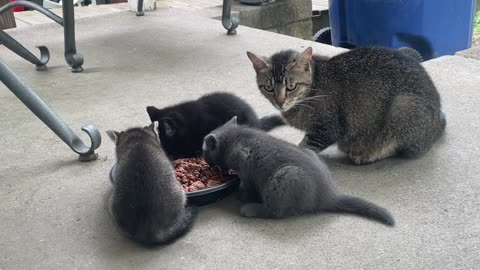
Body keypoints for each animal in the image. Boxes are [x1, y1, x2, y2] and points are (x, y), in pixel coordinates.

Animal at [248, 46, 446, 165]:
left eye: (291, 86)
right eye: (268, 87)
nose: (280, 102)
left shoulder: (326, 129)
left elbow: (305, 147)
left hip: (403, 107)